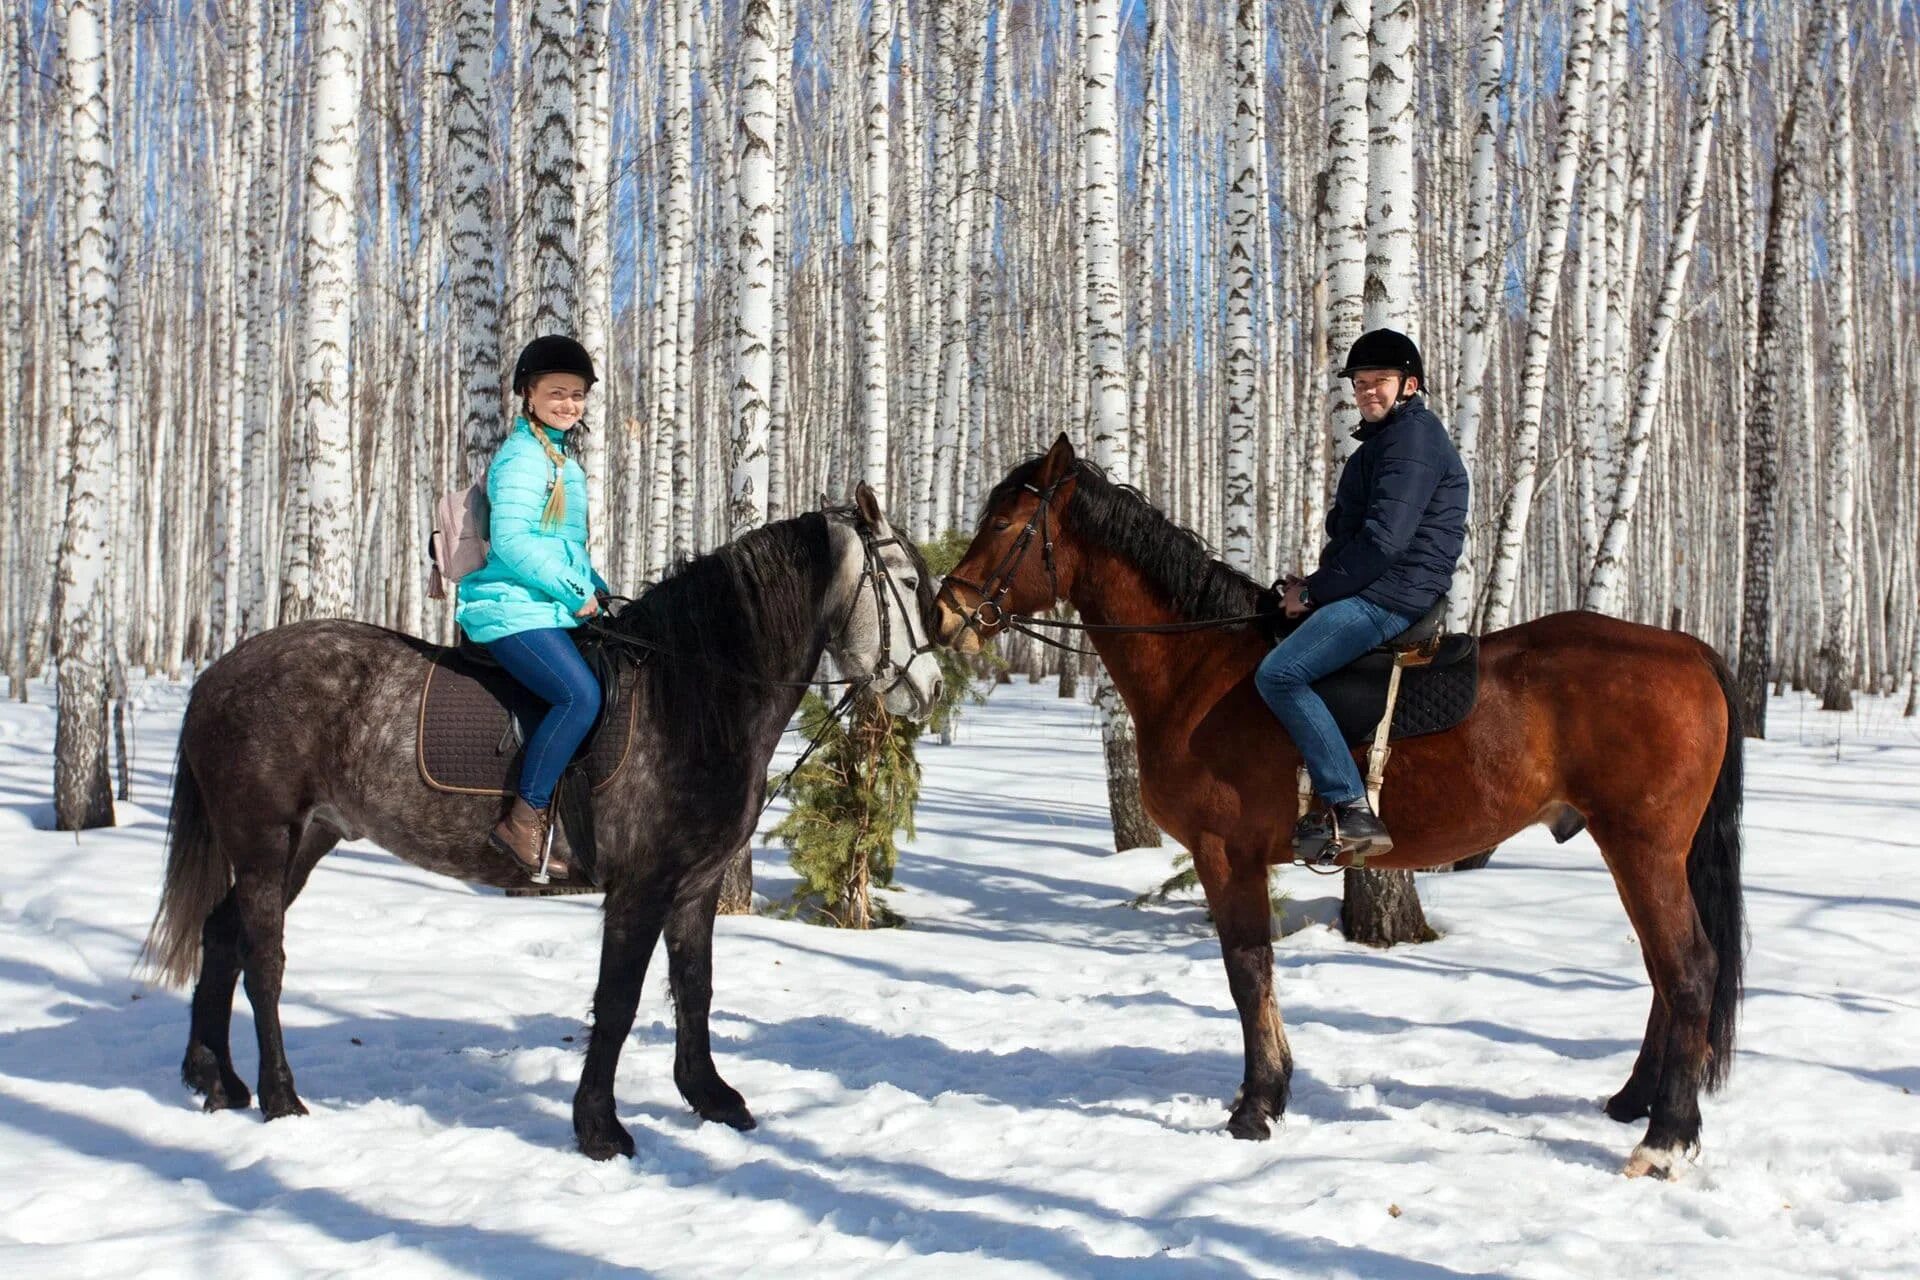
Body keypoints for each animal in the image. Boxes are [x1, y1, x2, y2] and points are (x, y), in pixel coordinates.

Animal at [140, 487, 944, 1159]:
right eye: (907, 584)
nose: (932, 690)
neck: (694, 694)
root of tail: (219, 675)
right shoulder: (641, 888)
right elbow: (618, 1003)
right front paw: (601, 1129)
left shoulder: (694, 887)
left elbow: (696, 988)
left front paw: (711, 1098)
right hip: (265, 839)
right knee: (263, 960)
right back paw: (280, 1098)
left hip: (304, 838)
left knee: (222, 936)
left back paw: (215, 1080)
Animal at [936, 441, 1751, 1182]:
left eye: (1005, 523)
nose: (944, 612)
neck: (1200, 671)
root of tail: (1687, 651)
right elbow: (1254, 973)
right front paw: (1268, 1093)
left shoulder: (1224, 855)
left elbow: (1248, 971)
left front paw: (1256, 1107)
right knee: (1664, 971)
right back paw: (1636, 1102)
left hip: (1642, 847)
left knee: (1688, 969)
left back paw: (1663, 1138)